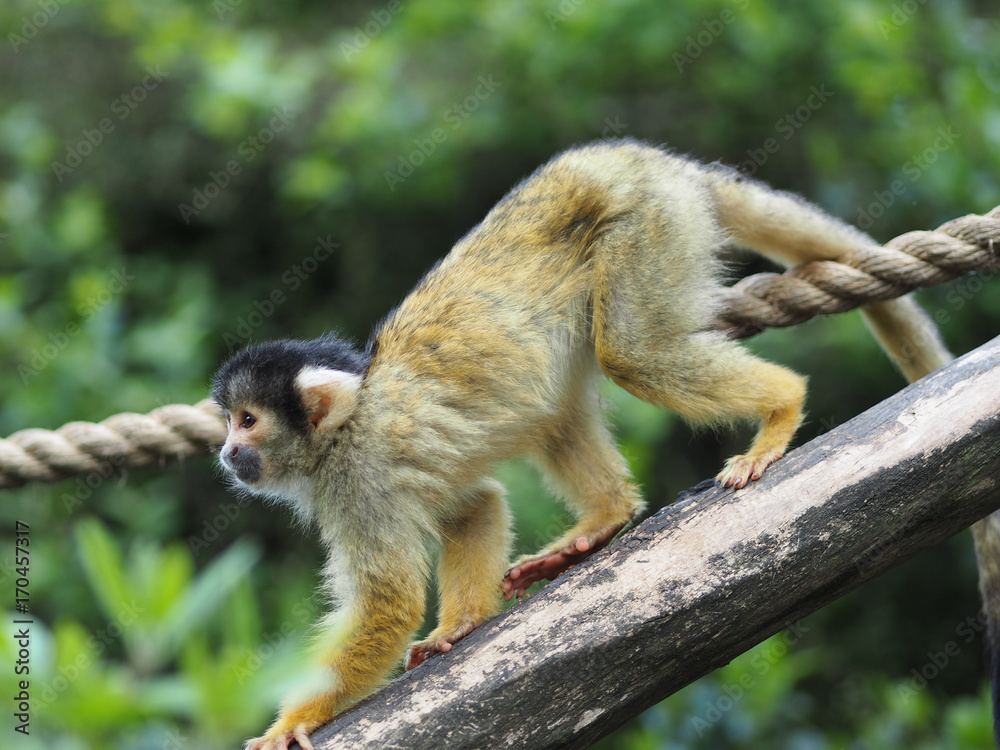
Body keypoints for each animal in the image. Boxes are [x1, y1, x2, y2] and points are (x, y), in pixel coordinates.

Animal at [212, 138, 950, 750]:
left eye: (247, 421)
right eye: (227, 422)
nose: (224, 453)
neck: (343, 428)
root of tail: (650, 160)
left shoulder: (358, 480)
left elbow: (390, 599)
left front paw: (294, 721)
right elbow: (476, 505)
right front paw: (460, 627)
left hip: (650, 225)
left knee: (632, 353)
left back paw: (781, 406)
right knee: (559, 404)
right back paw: (604, 518)